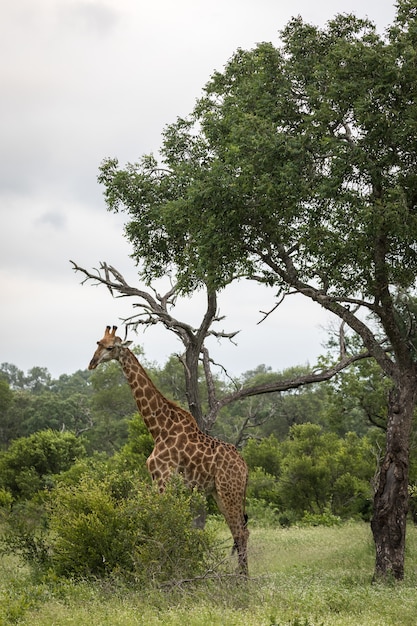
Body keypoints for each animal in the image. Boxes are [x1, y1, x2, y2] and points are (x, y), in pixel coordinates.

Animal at [88, 324, 249, 572]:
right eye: (98, 343)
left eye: (111, 347)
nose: (92, 363)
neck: (159, 429)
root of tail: (245, 468)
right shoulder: (160, 480)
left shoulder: (163, 478)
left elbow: (162, 523)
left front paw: (163, 570)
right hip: (219, 493)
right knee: (239, 531)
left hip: (229, 490)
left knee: (241, 532)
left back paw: (242, 578)